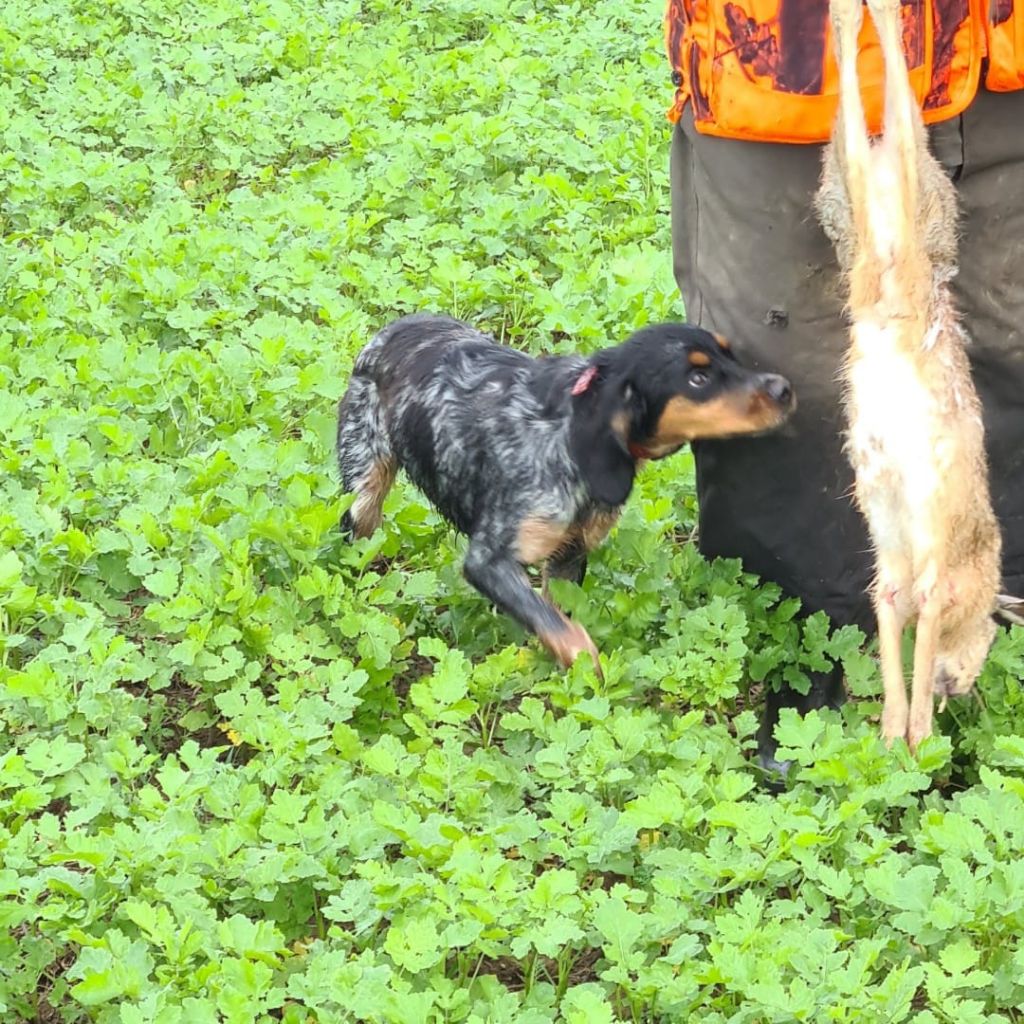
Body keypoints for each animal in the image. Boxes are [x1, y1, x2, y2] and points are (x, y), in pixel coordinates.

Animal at [339, 315, 794, 675]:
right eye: (698, 378)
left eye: (731, 355)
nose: (785, 388)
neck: (567, 436)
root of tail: (394, 327)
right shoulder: (489, 561)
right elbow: (564, 630)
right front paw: (589, 667)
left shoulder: (569, 556)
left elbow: (556, 614)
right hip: (363, 488)